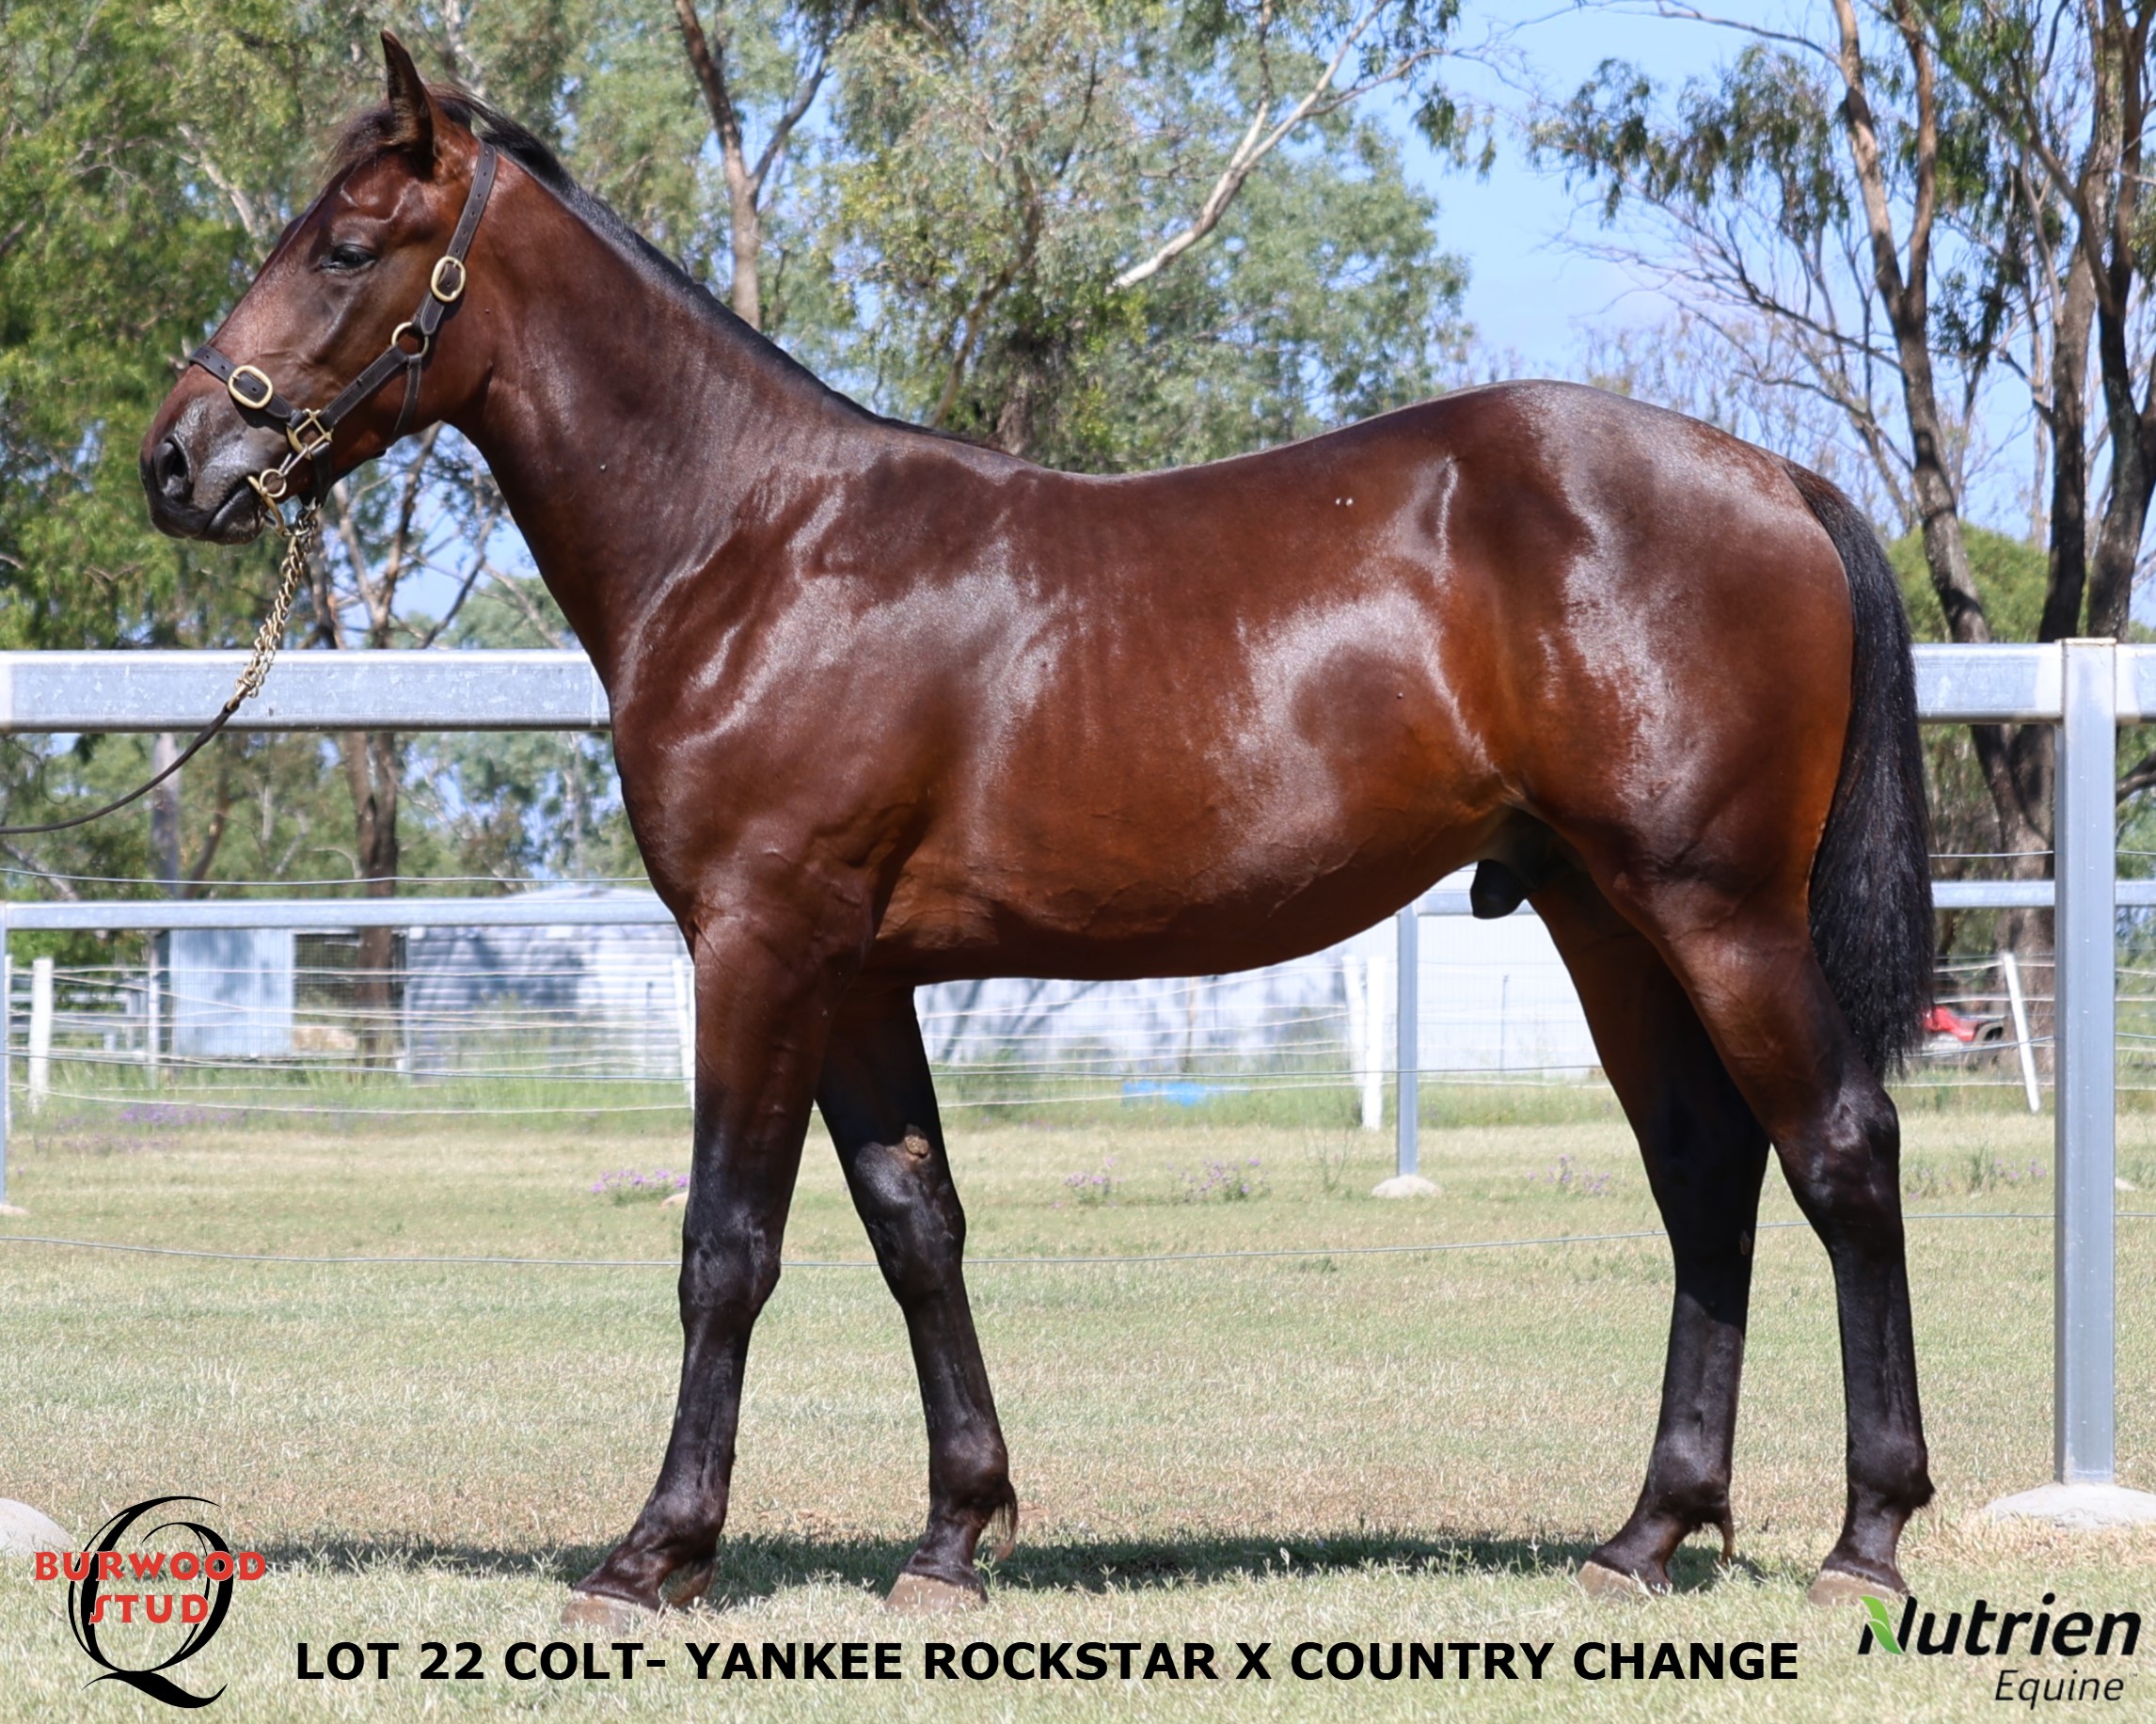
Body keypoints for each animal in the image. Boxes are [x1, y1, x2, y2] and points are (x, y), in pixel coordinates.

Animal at [143, 34, 1935, 1620]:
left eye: (345, 247)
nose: (178, 460)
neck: (752, 545)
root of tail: (1776, 477)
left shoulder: (759, 946)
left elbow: (728, 1244)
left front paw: (656, 1553)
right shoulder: (857, 975)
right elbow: (915, 1227)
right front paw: (953, 1536)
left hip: (1716, 909)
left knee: (1839, 1151)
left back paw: (1866, 1537)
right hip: (1601, 914)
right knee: (1703, 1170)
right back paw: (1646, 1532)